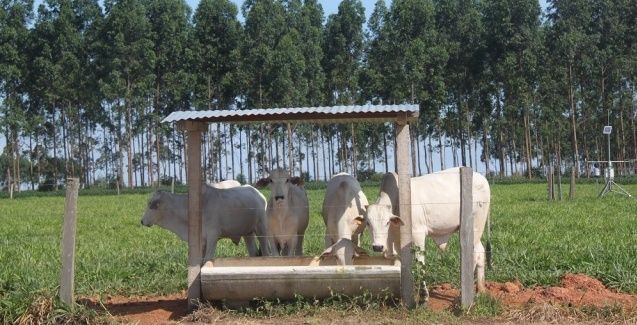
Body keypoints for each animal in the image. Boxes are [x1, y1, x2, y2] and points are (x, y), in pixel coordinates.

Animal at [362, 168, 492, 294]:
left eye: (387, 222)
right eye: (368, 223)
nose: (377, 247)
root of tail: (482, 178)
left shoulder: (418, 233)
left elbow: (420, 263)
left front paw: (423, 294)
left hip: (475, 226)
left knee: (474, 254)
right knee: (480, 251)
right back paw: (481, 289)